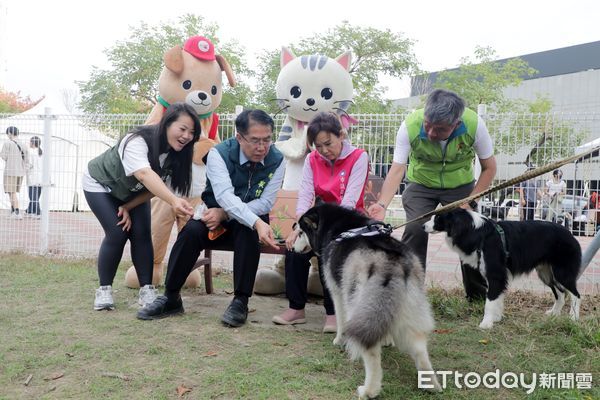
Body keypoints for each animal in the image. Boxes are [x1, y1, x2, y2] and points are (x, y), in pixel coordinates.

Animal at [292, 205, 442, 398]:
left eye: (300, 233)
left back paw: (369, 390)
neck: (337, 227)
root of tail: (390, 261)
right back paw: (430, 384)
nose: (292, 249)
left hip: (356, 303)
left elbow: (340, 321)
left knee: (370, 351)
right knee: (419, 347)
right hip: (408, 308)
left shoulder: (337, 293)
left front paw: (339, 340)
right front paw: (387, 340)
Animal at [422, 208, 580, 330]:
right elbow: (497, 298)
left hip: (562, 272)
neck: (477, 232)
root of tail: (571, 233)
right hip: (546, 273)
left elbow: (490, 300)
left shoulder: (495, 274)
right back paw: (554, 314)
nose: (423, 226)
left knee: (576, 295)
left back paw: (573, 318)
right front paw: (496, 318)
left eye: (438, 218)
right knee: (560, 293)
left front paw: (486, 323)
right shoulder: (496, 276)